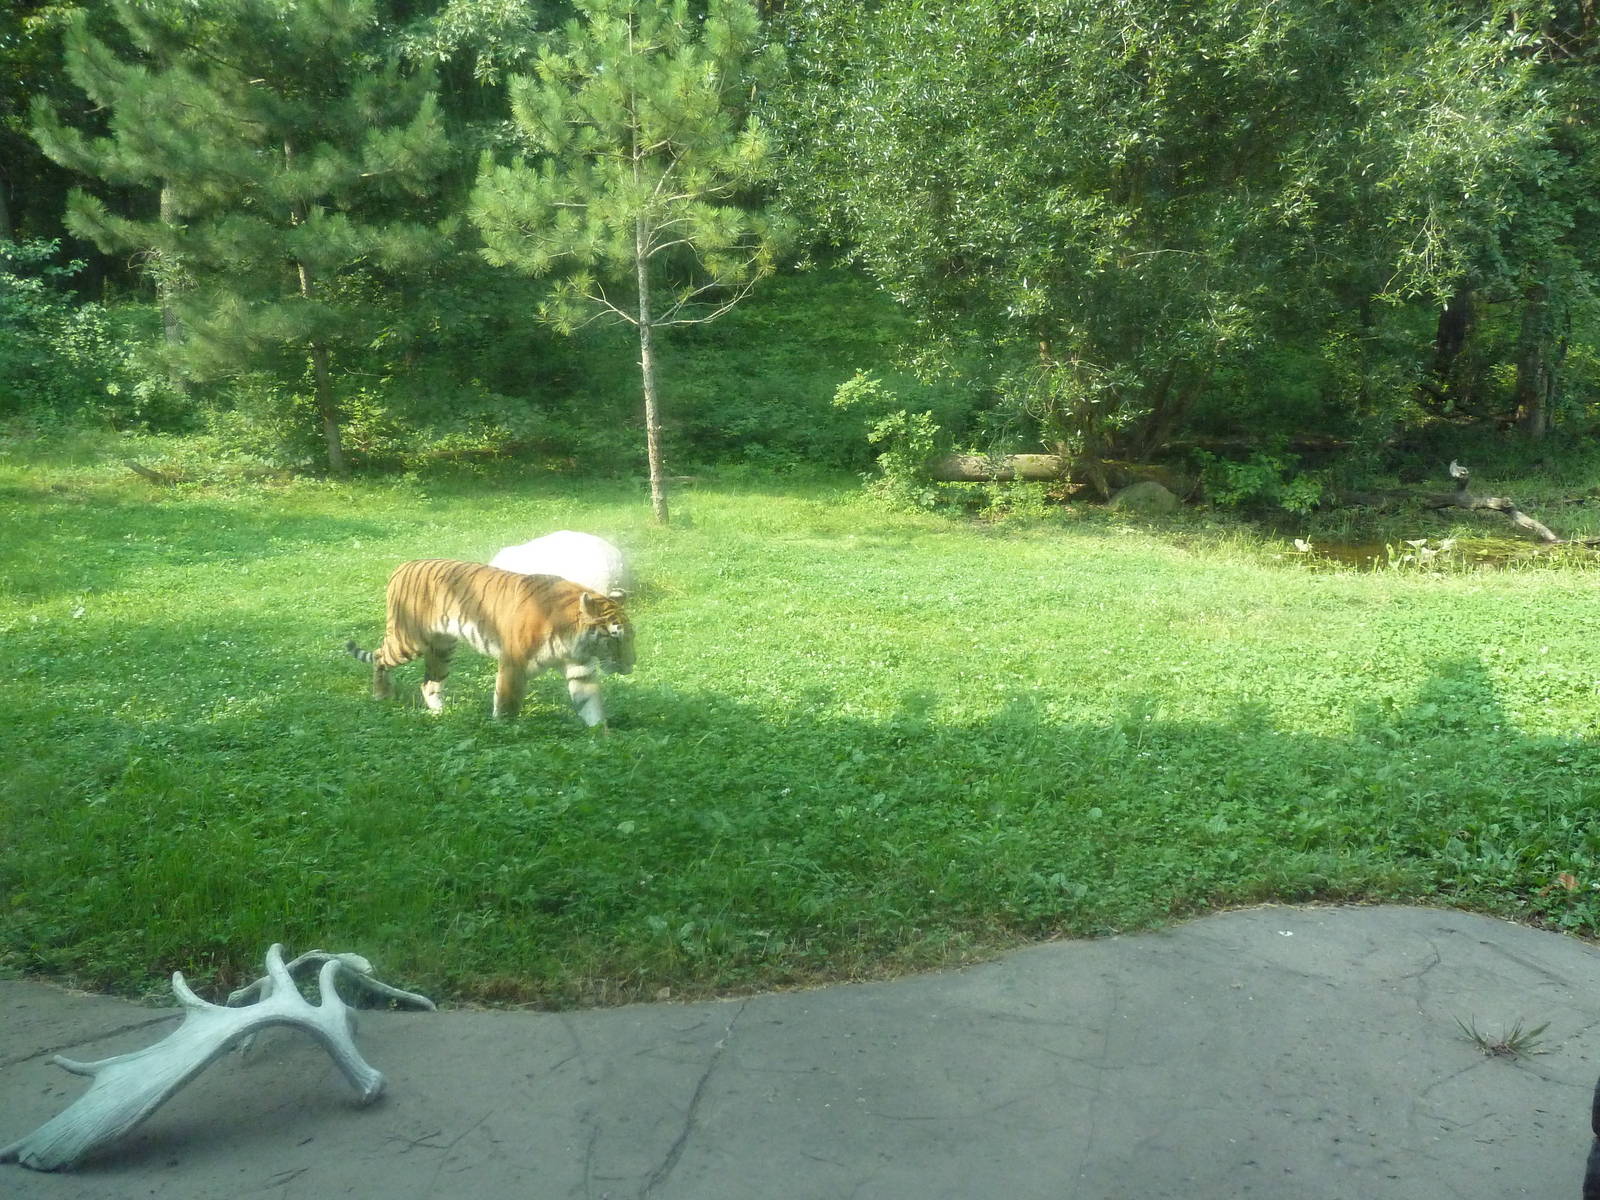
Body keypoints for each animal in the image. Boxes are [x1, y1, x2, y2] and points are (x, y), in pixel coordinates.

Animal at [345, 559, 634, 729]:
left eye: (630, 636)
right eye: (614, 637)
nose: (631, 666)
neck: (573, 640)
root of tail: (401, 566)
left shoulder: (580, 669)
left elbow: (591, 706)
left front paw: (603, 738)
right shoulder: (514, 663)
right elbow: (507, 702)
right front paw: (503, 733)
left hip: (442, 648)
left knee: (428, 683)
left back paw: (442, 713)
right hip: (409, 640)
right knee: (380, 657)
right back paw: (381, 695)